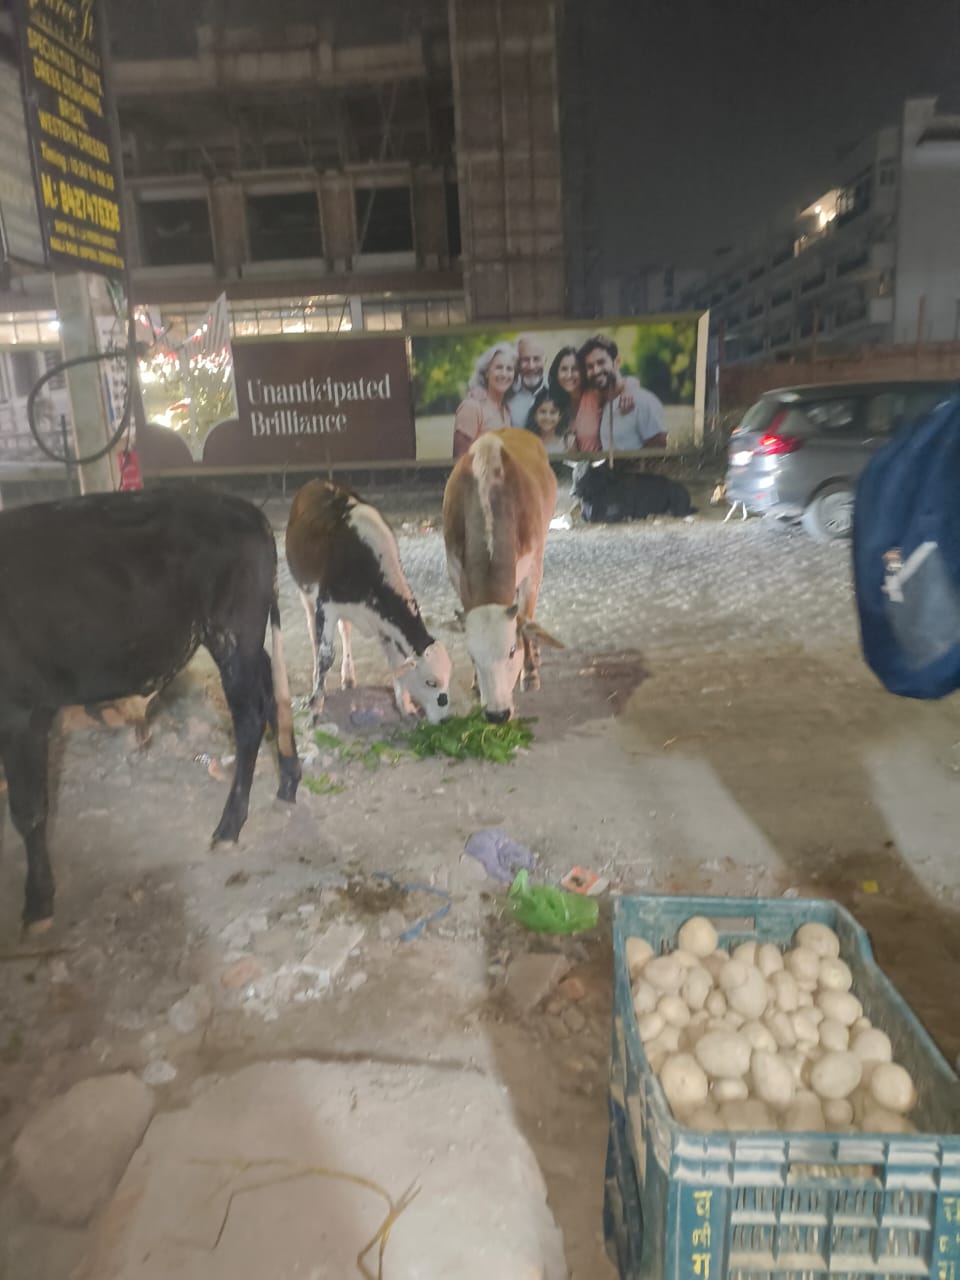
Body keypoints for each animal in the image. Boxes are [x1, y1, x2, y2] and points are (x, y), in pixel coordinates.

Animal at [0, 487, 301, 933]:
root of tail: (242, 507)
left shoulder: (22, 711)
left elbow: (29, 810)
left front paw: (38, 903)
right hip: (242, 641)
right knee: (269, 692)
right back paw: (288, 780)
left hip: (232, 630)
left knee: (249, 719)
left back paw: (229, 827)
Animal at [285, 479, 453, 724]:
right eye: (430, 682)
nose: (446, 721)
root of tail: (318, 481)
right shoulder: (326, 605)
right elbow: (326, 656)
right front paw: (316, 704)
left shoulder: (383, 623)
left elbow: (394, 661)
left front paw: (405, 706)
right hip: (305, 593)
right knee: (314, 636)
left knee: (345, 630)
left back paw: (348, 676)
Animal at [442, 428, 562, 722]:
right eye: (473, 656)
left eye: (511, 651)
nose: (497, 714)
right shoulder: (456, 573)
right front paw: (476, 682)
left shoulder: (532, 570)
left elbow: (526, 619)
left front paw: (529, 672)